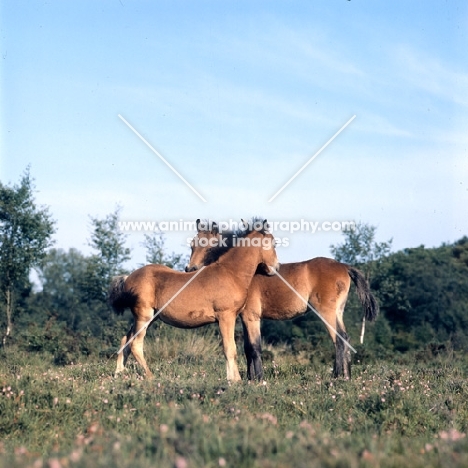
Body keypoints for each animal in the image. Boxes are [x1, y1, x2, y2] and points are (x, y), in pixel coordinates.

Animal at [108, 219, 280, 380]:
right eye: (273, 242)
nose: (275, 268)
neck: (230, 272)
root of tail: (128, 278)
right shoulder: (226, 316)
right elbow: (230, 349)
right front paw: (235, 380)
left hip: (149, 318)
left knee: (126, 340)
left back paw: (119, 374)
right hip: (144, 316)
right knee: (135, 344)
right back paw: (150, 376)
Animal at [185, 222, 378, 380]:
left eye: (209, 247)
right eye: (192, 245)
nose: (190, 269)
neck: (241, 272)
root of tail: (344, 266)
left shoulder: (251, 316)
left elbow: (254, 347)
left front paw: (257, 379)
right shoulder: (244, 317)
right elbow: (247, 348)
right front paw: (249, 378)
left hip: (326, 312)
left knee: (338, 339)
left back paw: (337, 376)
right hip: (338, 311)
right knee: (345, 337)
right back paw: (347, 376)